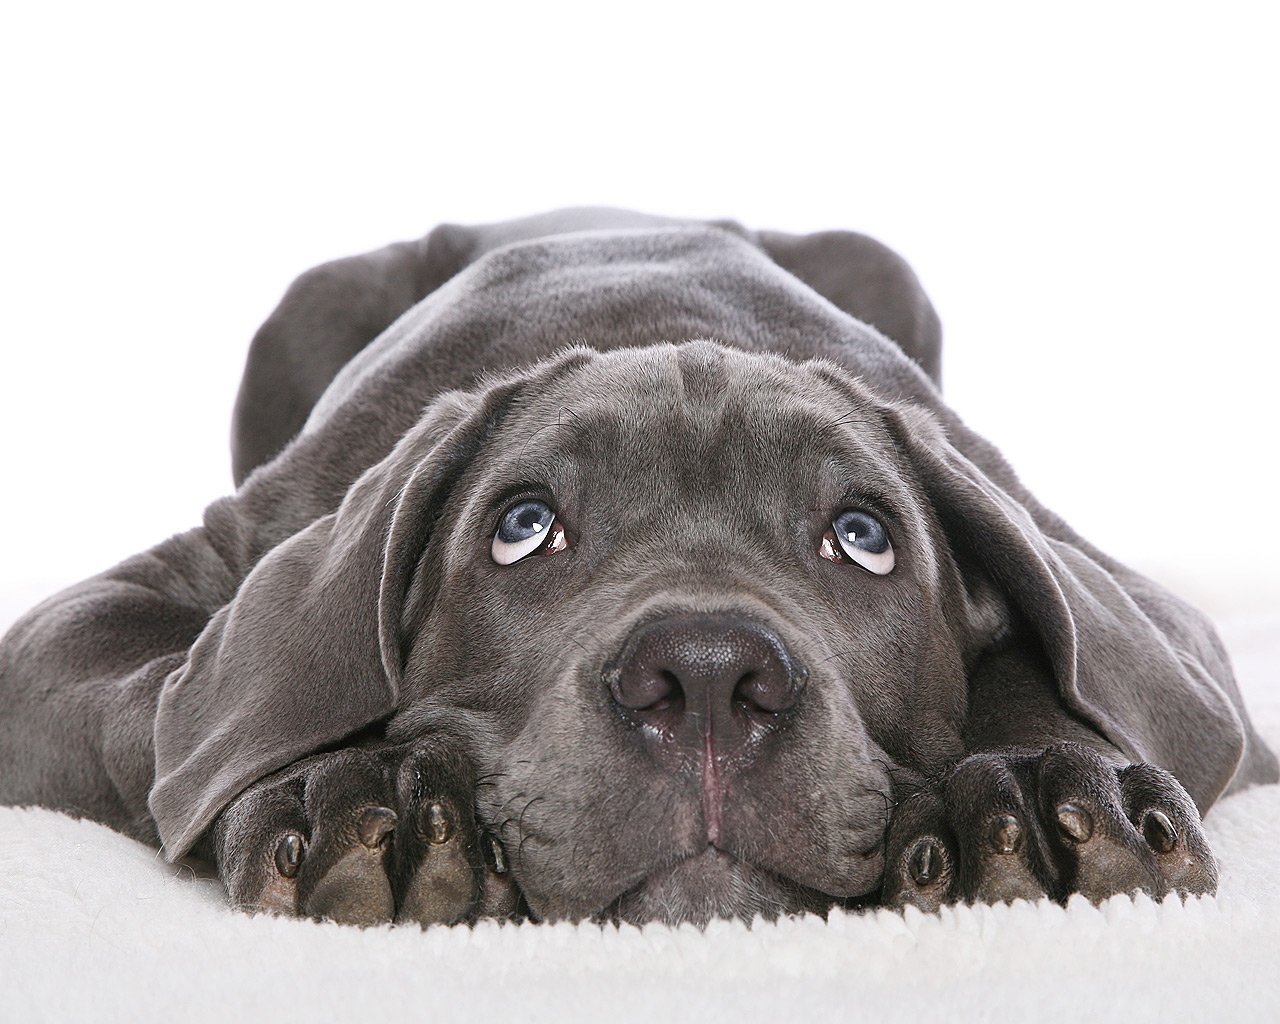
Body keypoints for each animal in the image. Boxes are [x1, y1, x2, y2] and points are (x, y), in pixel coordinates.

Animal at [2, 207, 1280, 926]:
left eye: (863, 537)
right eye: (522, 526)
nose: (707, 677)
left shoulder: (1144, 613)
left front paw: (1039, 786)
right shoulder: (107, 615)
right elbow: (185, 706)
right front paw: (356, 789)